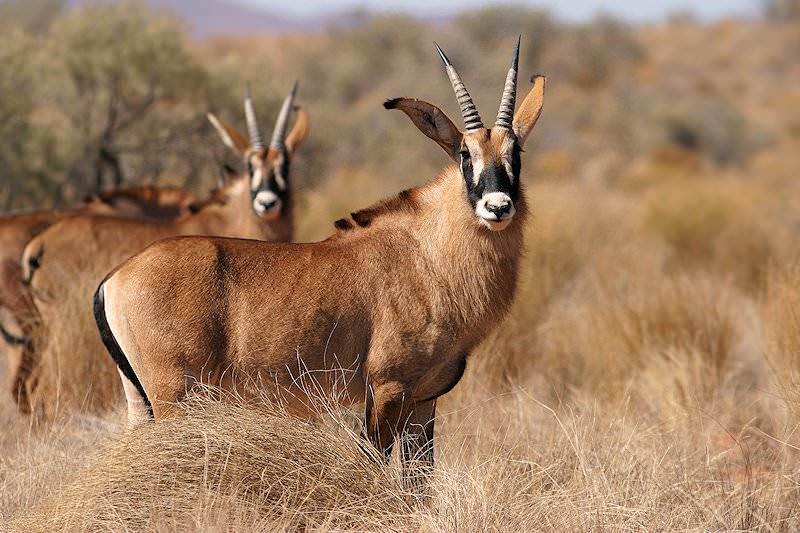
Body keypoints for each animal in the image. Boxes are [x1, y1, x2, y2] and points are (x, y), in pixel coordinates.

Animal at [94, 39, 544, 484]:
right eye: (465, 154)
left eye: (516, 152)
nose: (497, 206)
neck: (428, 254)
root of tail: (114, 278)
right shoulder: (387, 389)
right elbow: (374, 470)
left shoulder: (423, 400)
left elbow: (419, 484)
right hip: (174, 396)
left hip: (142, 401)